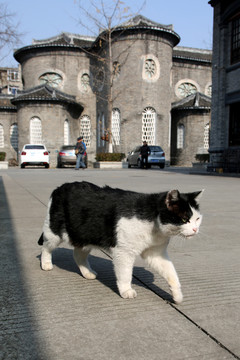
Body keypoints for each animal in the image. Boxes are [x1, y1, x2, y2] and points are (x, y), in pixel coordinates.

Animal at [38, 181, 203, 302]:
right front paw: (126, 290)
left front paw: (177, 295)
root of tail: (60, 187)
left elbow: (171, 273)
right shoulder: (124, 253)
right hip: (54, 233)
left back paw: (87, 272)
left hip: (86, 235)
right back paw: (46, 264)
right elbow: (125, 274)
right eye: (184, 219)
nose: (195, 229)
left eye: (197, 219)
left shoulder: (156, 254)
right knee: (46, 247)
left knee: (78, 254)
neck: (154, 225)